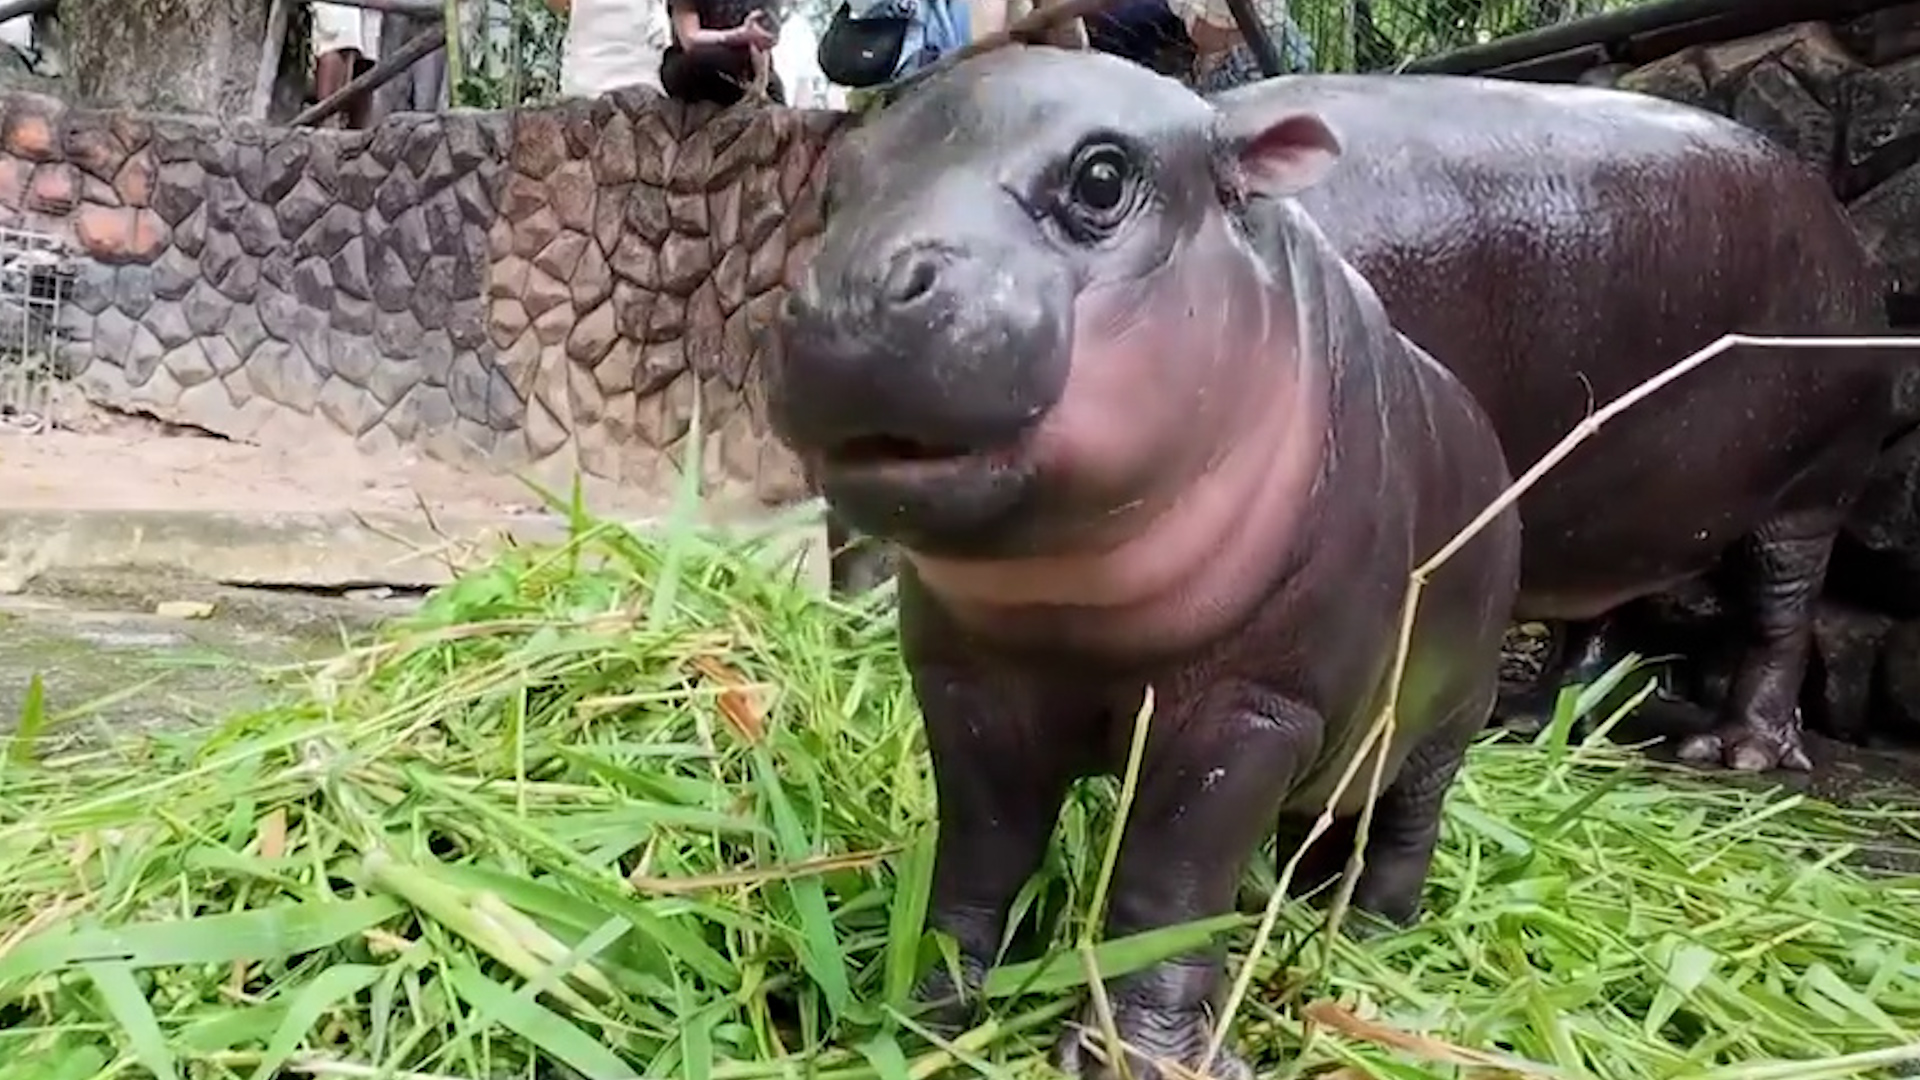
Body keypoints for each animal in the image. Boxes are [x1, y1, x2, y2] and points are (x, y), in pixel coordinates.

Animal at [764, 42, 1512, 1076]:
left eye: (1103, 178)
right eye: (837, 189)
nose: (845, 294)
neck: (1073, 613)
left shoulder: (1254, 715)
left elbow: (1171, 891)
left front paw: (1142, 1055)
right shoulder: (966, 685)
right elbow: (981, 854)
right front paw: (929, 1012)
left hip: (1449, 717)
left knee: (1405, 825)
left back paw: (1371, 940)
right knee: (1322, 823)